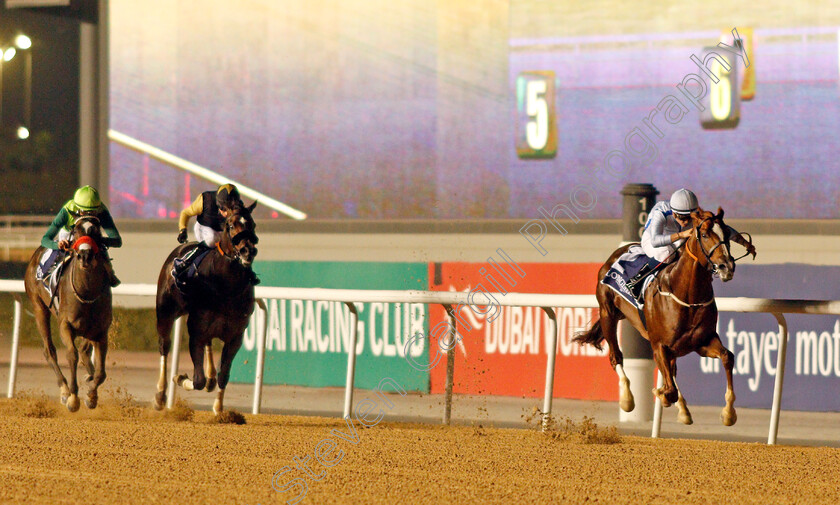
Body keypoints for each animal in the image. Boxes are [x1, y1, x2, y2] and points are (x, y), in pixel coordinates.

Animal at [24, 216, 112, 410]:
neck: (86, 293)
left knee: (85, 351)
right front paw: (73, 397)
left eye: (95, 230)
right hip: (39, 307)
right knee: (49, 350)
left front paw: (91, 395)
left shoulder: (101, 331)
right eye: (77, 230)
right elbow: (72, 355)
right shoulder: (65, 325)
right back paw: (64, 390)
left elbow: (101, 372)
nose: (85, 256)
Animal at [154, 201, 258, 414]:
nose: (248, 251)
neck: (227, 286)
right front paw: (180, 377)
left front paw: (219, 408)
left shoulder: (236, 336)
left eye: (252, 224)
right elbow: (198, 380)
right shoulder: (196, 331)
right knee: (164, 346)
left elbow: (223, 375)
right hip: (165, 312)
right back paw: (161, 395)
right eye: (230, 225)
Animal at [576, 208, 752, 426]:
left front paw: (728, 413)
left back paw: (683, 410)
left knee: (673, 371)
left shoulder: (702, 341)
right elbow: (669, 390)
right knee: (615, 357)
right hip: (607, 312)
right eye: (704, 235)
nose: (726, 266)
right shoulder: (659, 345)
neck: (688, 296)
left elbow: (727, 357)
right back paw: (627, 399)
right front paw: (660, 393)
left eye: (727, 234)